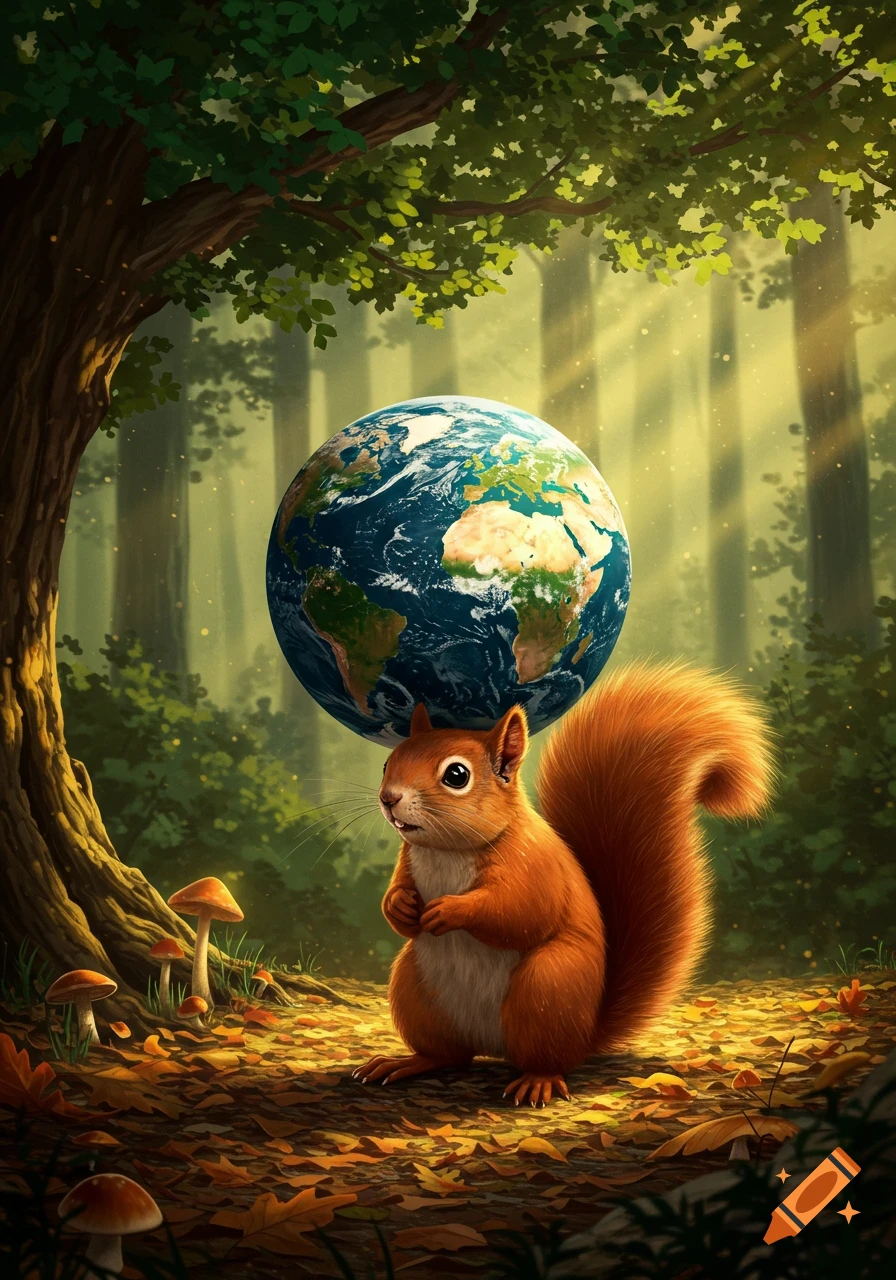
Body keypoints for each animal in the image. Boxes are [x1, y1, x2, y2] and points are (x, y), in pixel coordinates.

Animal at [353, 662, 774, 1107]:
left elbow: (519, 913)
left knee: (544, 1058)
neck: (448, 850)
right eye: (388, 762)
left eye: (456, 774)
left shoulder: (535, 867)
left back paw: (538, 1080)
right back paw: (406, 1063)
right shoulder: (408, 862)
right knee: (449, 1055)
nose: (389, 798)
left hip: (547, 987)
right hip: (415, 992)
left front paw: (451, 909)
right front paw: (400, 906)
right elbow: (397, 900)